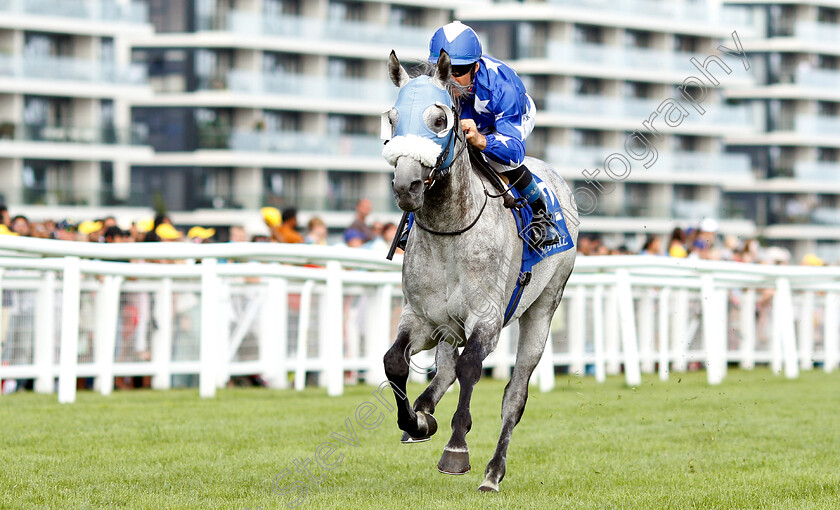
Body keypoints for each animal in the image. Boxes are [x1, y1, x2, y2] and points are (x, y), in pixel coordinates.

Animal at [380, 49, 576, 492]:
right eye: (392, 118)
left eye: (439, 120)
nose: (406, 186)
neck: (450, 229)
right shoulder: (420, 316)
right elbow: (395, 362)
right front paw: (415, 422)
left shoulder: (486, 318)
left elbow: (471, 368)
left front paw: (456, 450)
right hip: (448, 325)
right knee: (445, 369)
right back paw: (424, 412)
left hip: (544, 307)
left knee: (514, 395)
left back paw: (493, 472)